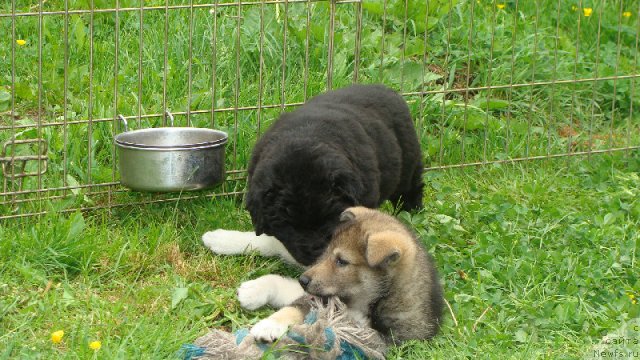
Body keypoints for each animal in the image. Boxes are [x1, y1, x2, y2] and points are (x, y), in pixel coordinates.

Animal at [242, 83, 422, 264]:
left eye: (330, 216)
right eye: (289, 224)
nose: (317, 253)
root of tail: (385, 89)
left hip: (408, 161)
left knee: (410, 189)